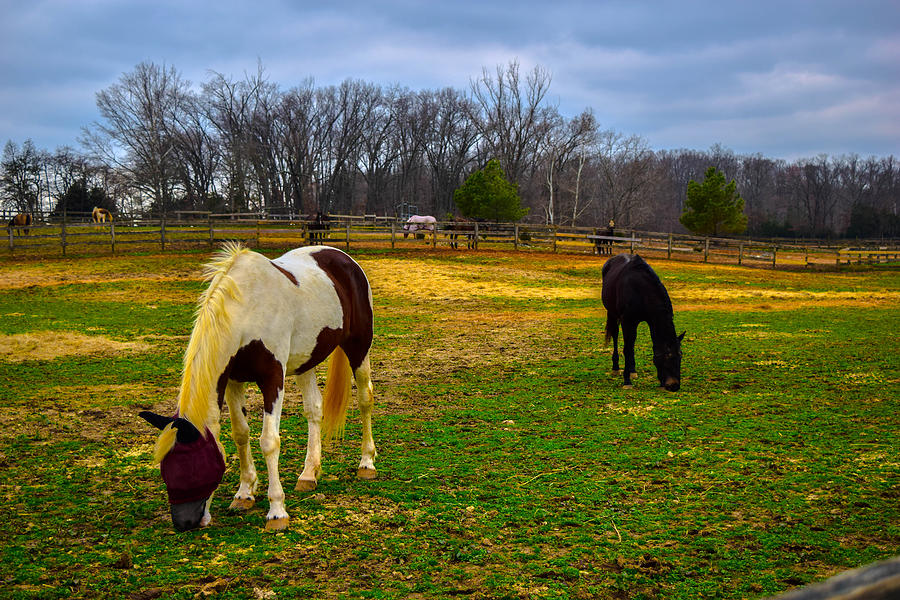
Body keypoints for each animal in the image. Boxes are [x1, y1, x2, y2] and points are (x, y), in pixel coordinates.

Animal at [140, 241, 376, 532]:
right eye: (165, 469)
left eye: (191, 466)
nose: (185, 523)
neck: (246, 307)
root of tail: (344, 259)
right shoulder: (232, 380)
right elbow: (240, 434)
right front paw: (244, 493)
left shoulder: (272, 378)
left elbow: (269, 441)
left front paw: (277, 511)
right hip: (306, 361)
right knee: (314, 410)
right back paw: (309, 474)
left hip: (359, 347)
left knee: (365, 398)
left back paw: (366, 463)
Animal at [600, 252, 684, 390]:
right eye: (666, 356)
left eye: (680, 355)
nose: (674, 386)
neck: (640, 289)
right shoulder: (627, 321)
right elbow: (627, 349)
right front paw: (627, 381)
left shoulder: (649, 321)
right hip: (612, 313)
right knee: (616, 335)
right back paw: (616, 368)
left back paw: (632, 370)